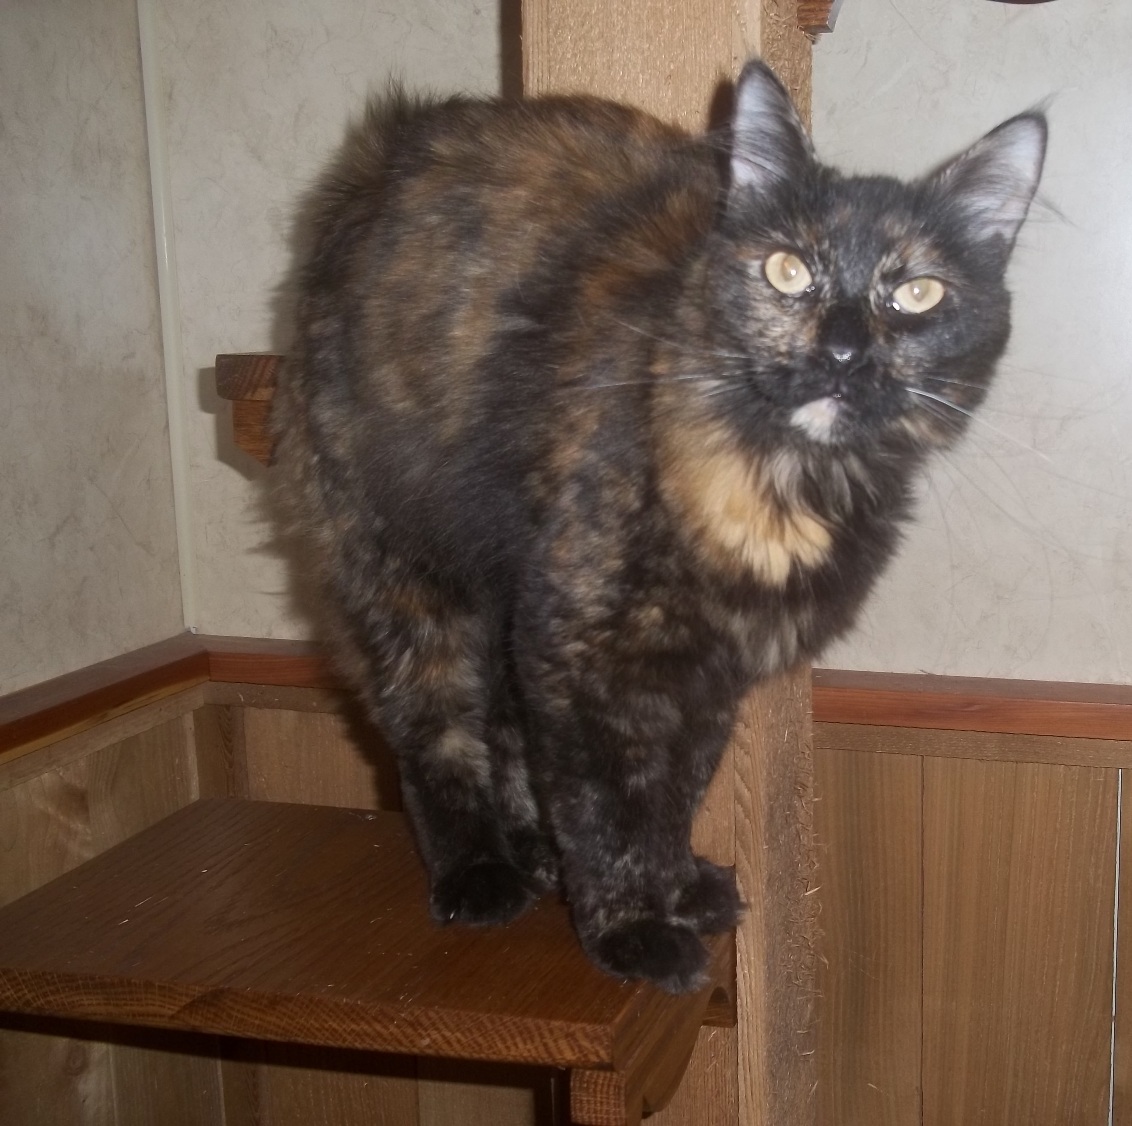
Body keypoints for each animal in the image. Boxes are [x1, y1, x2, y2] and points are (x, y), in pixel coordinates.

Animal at [273, 59, 1046, 993]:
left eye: (917, 293)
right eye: (787, 271)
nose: (842, 350)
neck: (780, 481)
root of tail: (384, 151)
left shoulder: (707, 666)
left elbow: (677, 788)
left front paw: (675, 887)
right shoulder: (582, 643)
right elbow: (608, 803)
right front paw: (632, 929)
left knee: (503, 728)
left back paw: (533, 853)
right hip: (410, 562)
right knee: (433, 720)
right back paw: (480, 871)